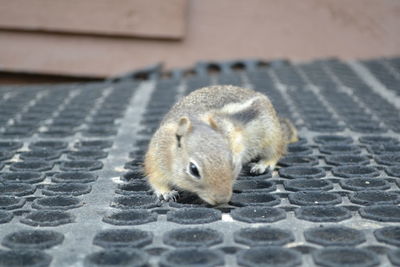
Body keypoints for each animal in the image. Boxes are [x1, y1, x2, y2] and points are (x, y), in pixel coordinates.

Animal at [144, 85, 296, 206]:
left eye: (233, 164)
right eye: (193, 170)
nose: (222, 200)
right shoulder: (157, 156)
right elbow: (155, 178)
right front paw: (165, 193)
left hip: (271, 134)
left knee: (276, 151)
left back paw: (263, 164)